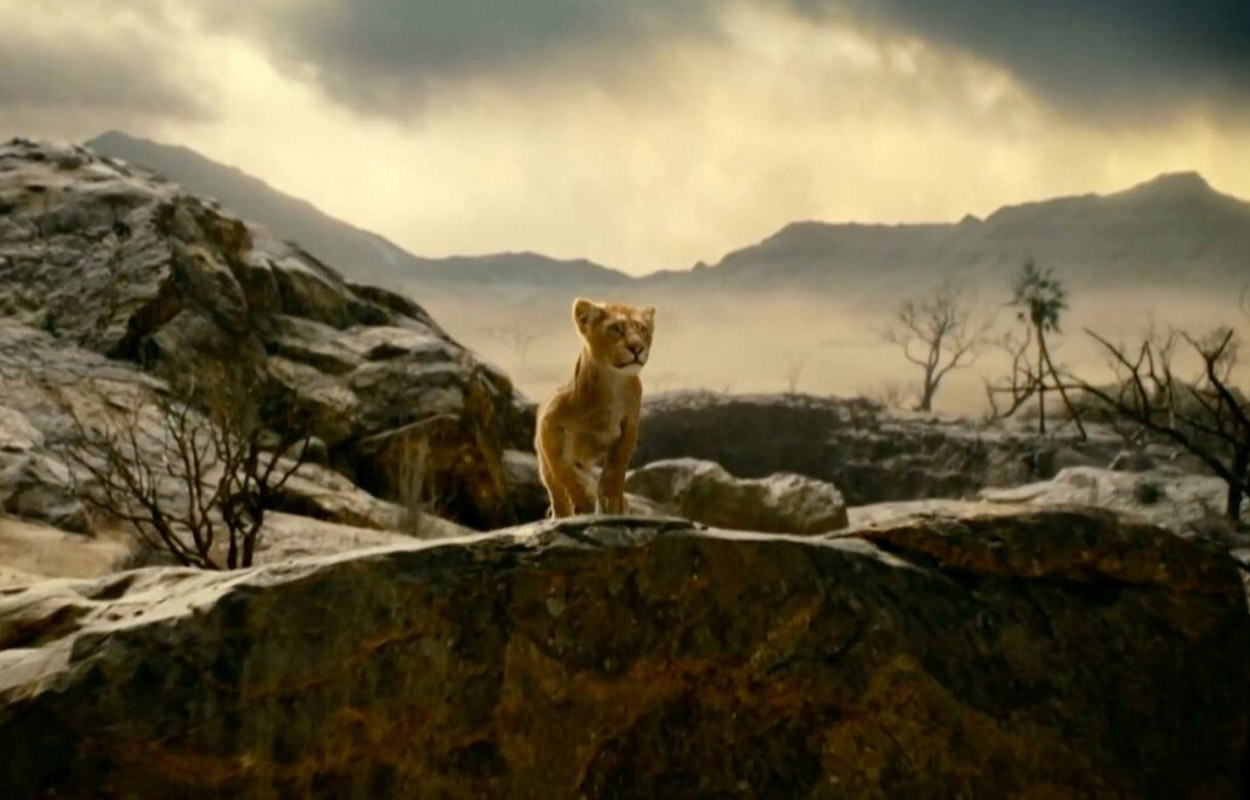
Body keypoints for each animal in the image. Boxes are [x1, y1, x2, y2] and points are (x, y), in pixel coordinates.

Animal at [535, 298, 656, 517]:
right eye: (615, 328)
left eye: (642, 328)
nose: (637, 348)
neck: (611, 386)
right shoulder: (548, 422)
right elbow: (564, 470)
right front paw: (584, 501)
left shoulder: (630, 424)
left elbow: (617, 465)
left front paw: (613, 500)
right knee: (556, 489)